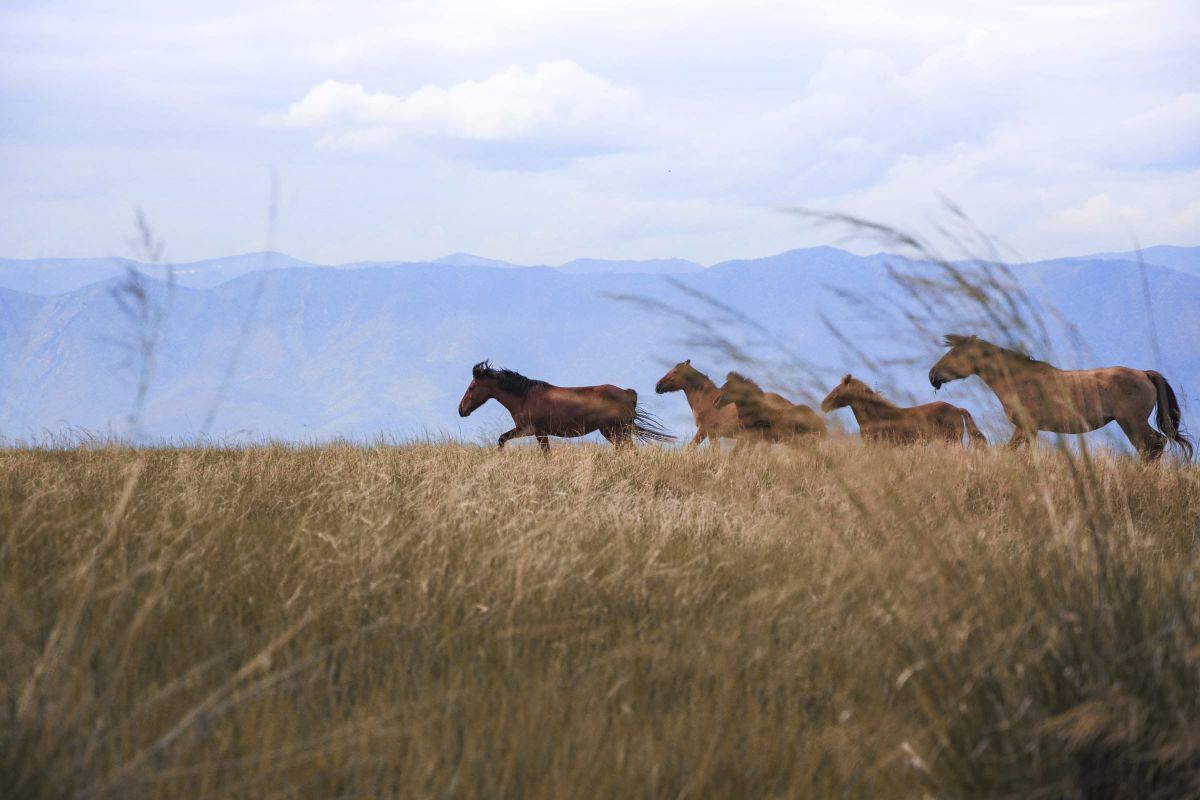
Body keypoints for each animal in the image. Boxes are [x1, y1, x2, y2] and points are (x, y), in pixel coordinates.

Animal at [458, 361, 673, 452]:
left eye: (471, 387)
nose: (461, 410)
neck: (524, 397)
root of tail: (627, 393)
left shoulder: (534, 431)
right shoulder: (532, 432)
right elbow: (502, 439)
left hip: (614, 431)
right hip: (619, 431)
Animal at [928, 334, 1192, 461]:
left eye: (953, 354)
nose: (933, 376)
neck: (1018, 379)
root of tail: (1144, 374)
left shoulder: (1026, 427)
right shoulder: (1029, 430)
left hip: (1132, 422)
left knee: (1153, 445)